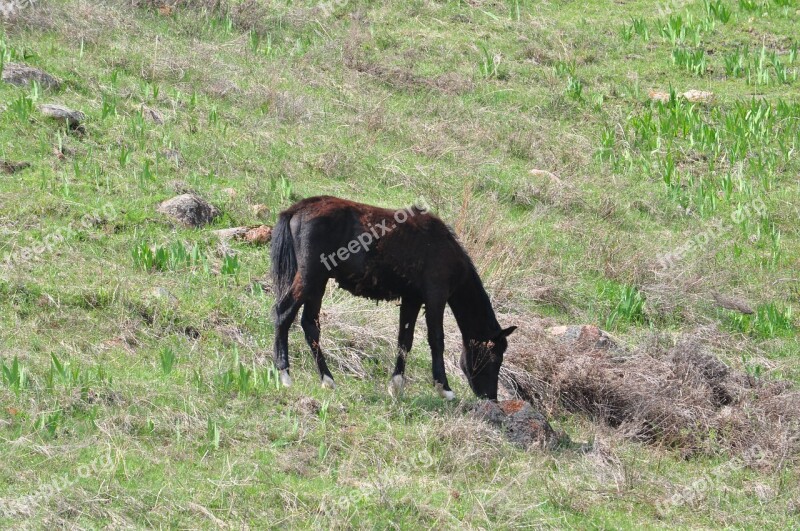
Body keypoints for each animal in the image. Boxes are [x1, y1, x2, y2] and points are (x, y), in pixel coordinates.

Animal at [272, 195, 516, 400]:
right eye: (495, 358)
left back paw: (327, 379)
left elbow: (405, 340)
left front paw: (396, 385)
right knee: (283, 313)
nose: (491, 398)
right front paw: (444, 388)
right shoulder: (436, 295)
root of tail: (297, 208)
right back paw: (284, 374)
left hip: (318, 283)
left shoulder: (412, 299)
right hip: (311, 278)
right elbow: (437, 339)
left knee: (310, 325)